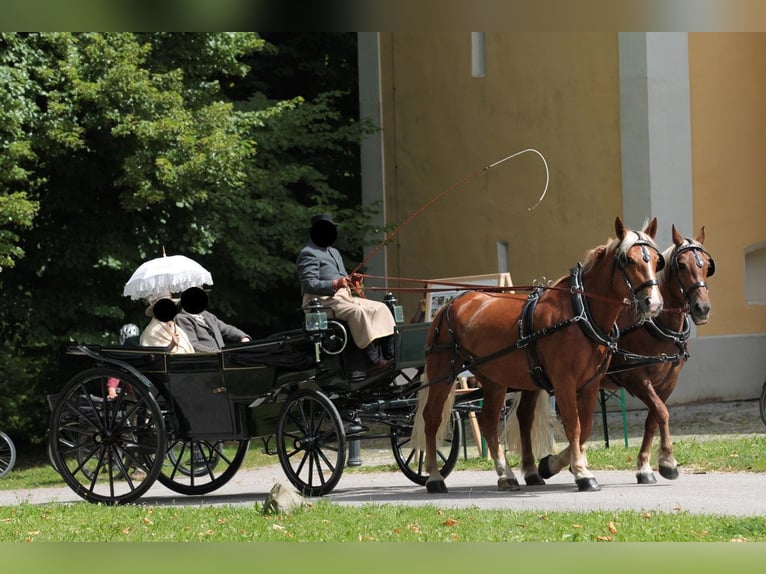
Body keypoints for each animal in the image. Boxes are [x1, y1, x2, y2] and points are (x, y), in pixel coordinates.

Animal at [420, 217, 664, 496]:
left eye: (657, 261)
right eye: (628, 261)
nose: (653, 303)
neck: (581, 312)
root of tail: (453, 302)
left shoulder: (591, 384)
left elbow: (585, 427)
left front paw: (557, 464)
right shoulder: (564, 382)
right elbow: (573, 424)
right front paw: (581, 473)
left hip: (494, 380)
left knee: (489, 421)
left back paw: (506, 474)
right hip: (442, 372)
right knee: (432, 418)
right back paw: (434, 476)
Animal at [512, 227, 716, 488]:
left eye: (707, 265)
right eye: (681, 265)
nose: (702, 308)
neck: (653, 323)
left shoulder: (668, 382)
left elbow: (654, 418)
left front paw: (644, 466)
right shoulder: (634, 377)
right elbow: (662, 412)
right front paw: (667, 462)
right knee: (526, 416)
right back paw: (536, 469)